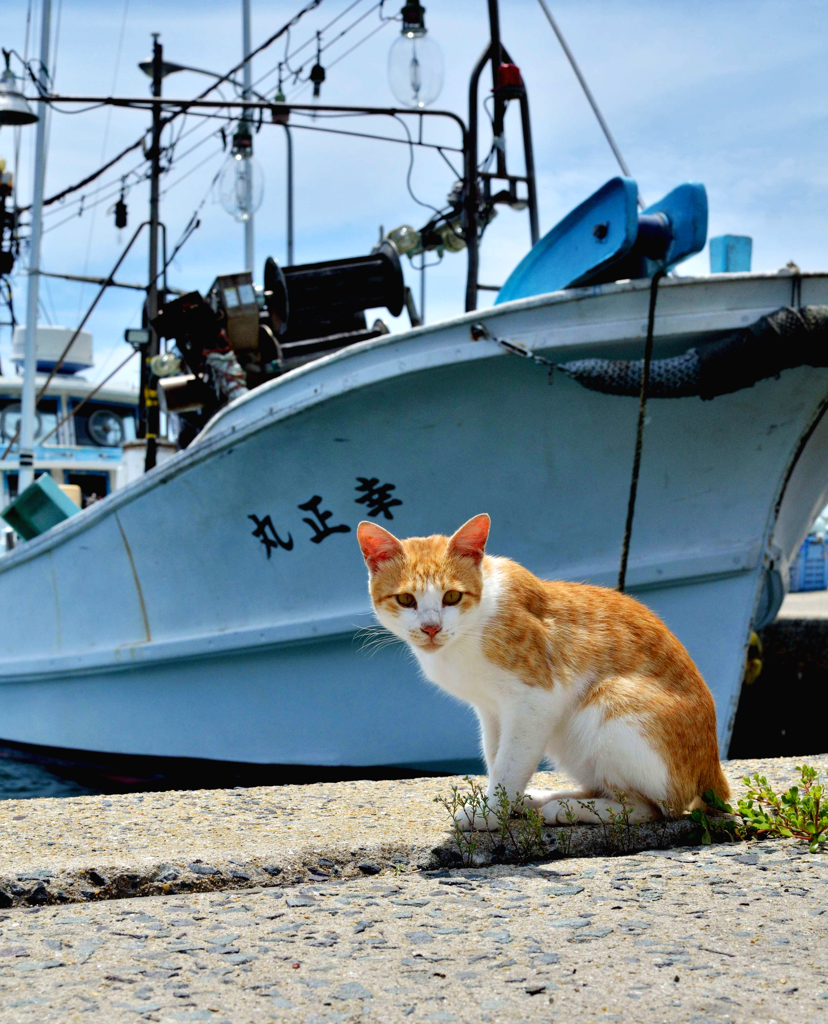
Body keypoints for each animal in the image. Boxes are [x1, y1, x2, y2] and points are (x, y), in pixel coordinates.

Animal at [358, 516, 728, 827]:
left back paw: (568, 809)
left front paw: (491, 815)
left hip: (606, 705)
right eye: (406, 600)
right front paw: (503, 805)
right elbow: (497, 757)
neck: (471, 628)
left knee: (653, 808)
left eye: (451, 596)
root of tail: (712, 766)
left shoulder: (535, 702)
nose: (431, 628)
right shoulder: (491, 710)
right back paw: (546, 799)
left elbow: (509, 764)